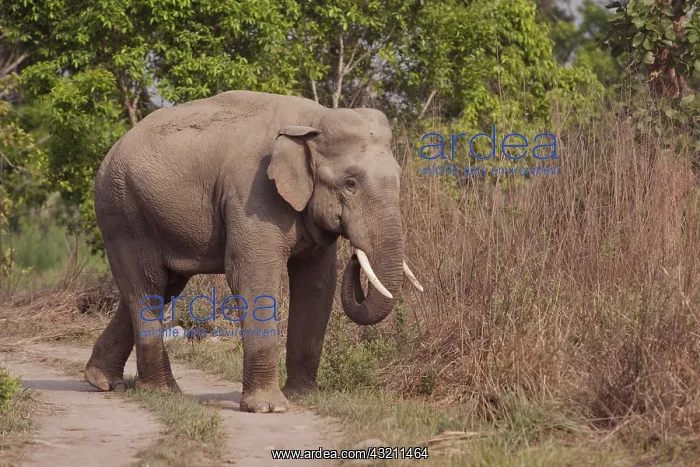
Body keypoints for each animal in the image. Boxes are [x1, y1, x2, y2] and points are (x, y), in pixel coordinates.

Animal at [83, 90, 424, 413]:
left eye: (398, 177)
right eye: (350, 183)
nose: (356, 255)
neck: (312, 120)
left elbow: (317, 283)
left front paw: (303, 397)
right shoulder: (252, 193)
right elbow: (252, 273)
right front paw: (268, 407)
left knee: (164, 288)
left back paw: (103, 381)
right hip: (123, 213)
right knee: (148, 286)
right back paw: (160, 391)